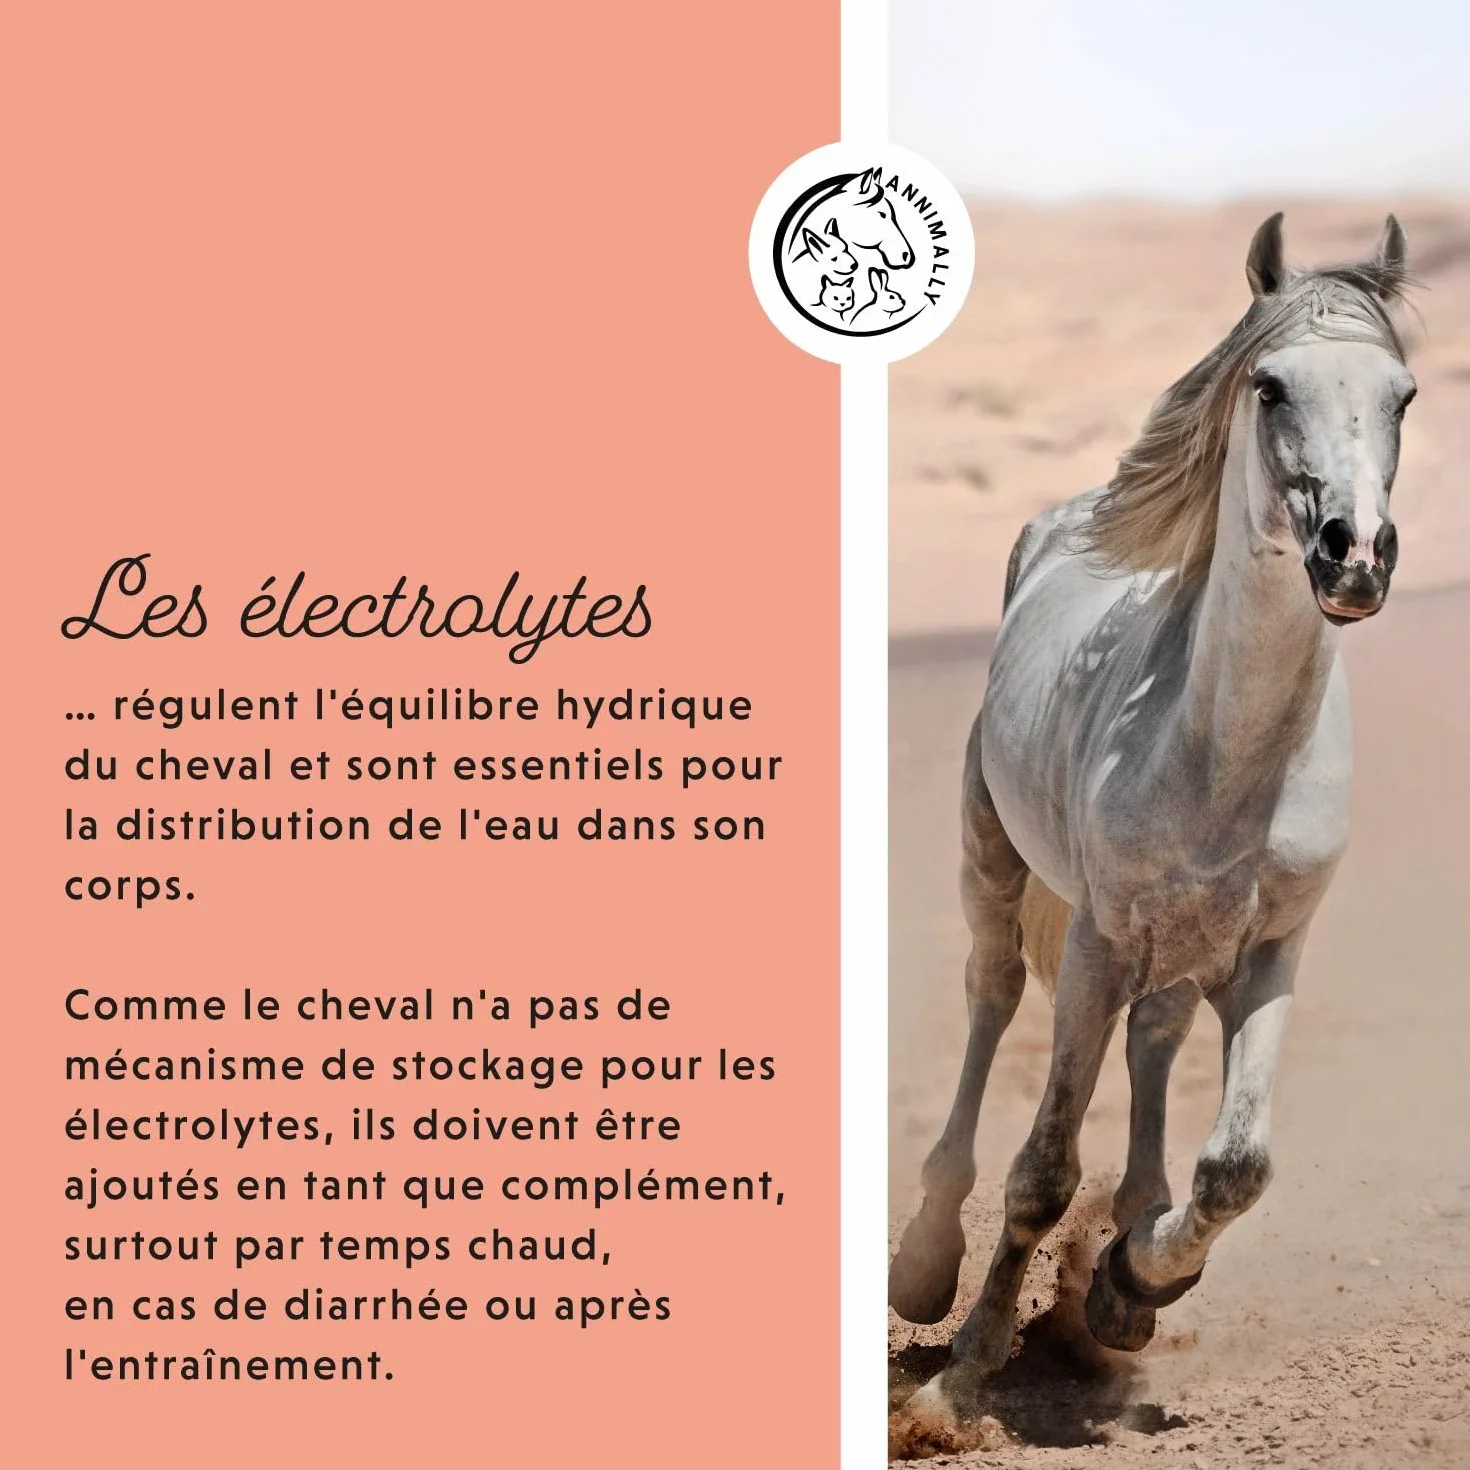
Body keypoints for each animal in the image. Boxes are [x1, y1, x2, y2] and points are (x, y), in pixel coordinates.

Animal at [889, 213, 1416, 1422]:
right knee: (993, 1001)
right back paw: (925, 1264)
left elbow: (1238, 1167)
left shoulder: (1271, 951)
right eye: (1269, 385)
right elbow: (1042, 1171)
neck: (1224, 754)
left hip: (1182, 951)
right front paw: (961, 1380)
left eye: (1404, 395)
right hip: (995, 865)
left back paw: (1131, 1248)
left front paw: (1135, 1280)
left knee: (1157, 1041)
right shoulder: (1096, 941)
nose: (1354, 555)